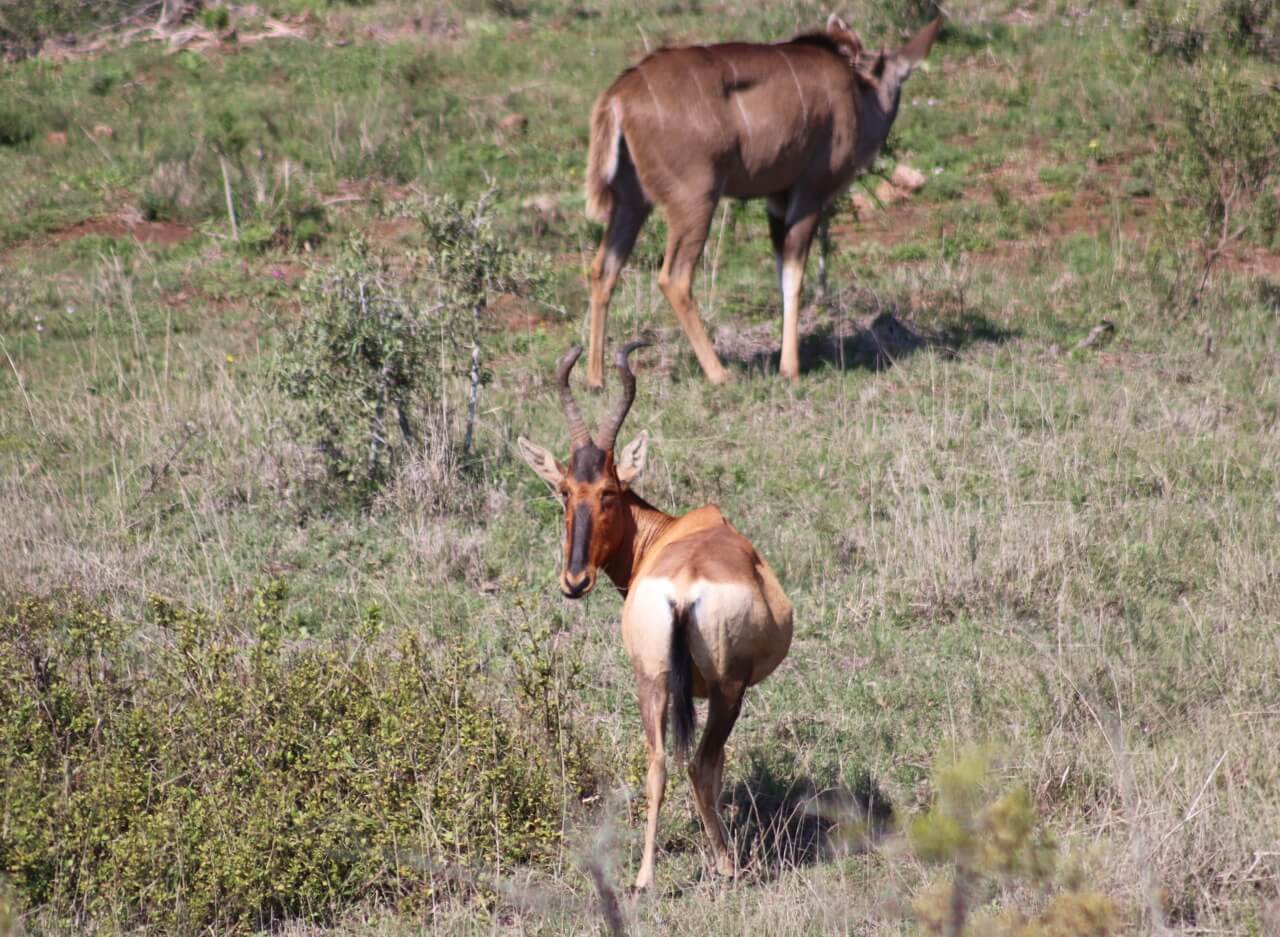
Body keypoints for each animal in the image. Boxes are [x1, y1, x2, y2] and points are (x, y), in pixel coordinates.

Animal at [517, 345, 793, 890]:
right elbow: (716, 766)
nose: (574, 580)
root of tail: (684, 587)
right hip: (728, 689)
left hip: (651, 678)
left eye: (607, 491)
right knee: (700, 764)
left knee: (658, 763)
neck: (677, 530)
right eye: (565, 491)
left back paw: (644, 877)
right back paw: (726, 865)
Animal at [586, 11, 947, 384]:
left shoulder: (775, 198)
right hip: (696, 199)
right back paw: (719, 373)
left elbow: (779, 272)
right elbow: (794, 277)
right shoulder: (809, 190)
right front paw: (790, 368)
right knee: (674, 278)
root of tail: (618, 97)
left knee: (602, 270)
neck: (860, 92)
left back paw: (595, 378)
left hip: (631, 201)